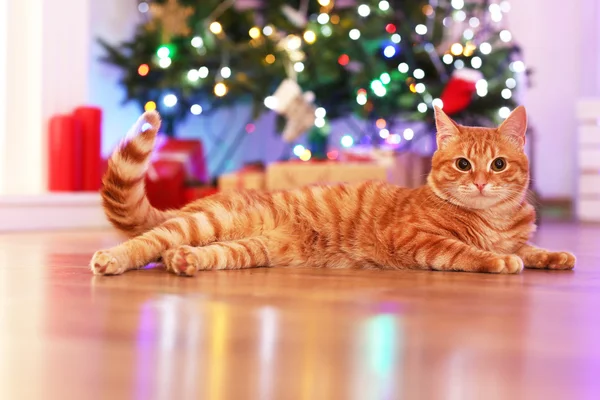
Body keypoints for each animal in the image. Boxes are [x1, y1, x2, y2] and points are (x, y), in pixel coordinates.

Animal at [90, 104, 576, 276]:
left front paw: (556, 256)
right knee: (147, 241)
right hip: (207, 223)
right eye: (462, 164)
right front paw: (498, 260)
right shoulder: (417, 239)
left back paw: (184, 262)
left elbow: (531, 248)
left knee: (183, 252)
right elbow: (470, 253)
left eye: (498, 164)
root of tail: (202, 199)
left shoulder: (516, 235)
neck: (492, 218)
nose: (480, 181)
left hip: (245, 249)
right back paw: (112, 259)